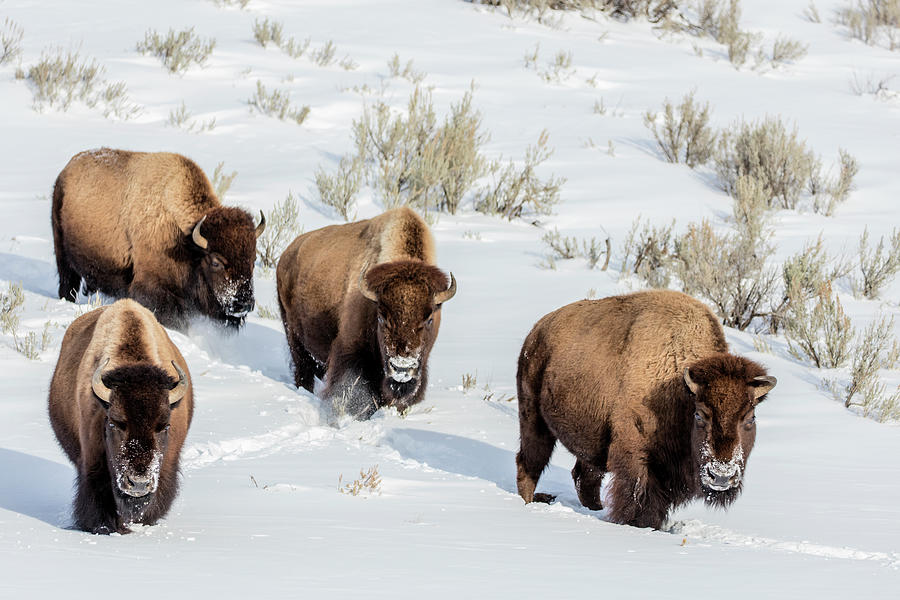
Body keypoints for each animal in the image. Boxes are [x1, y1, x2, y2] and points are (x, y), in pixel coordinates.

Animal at [51, 148, 266, 330]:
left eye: (253, 259)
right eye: (215, 262)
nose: (243, 304)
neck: (186, 239)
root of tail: (67, 170)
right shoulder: (154, 288)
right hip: (62, 253)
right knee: (67, 281)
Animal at [274, 209, 458, 420]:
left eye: (429, 319)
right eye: (381, 317)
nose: (402, 368)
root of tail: (287, 253)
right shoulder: (351, 351)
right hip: (293, 336)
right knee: (303, 369)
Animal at [516, 290, 776, 528]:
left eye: (750, 418)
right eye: (700, 415)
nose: (721, 475)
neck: (678, 387)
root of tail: (537, 332)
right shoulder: (636, 457)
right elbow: (639, 501)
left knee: (583, 478)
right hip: (533, 420)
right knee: (529, 464)